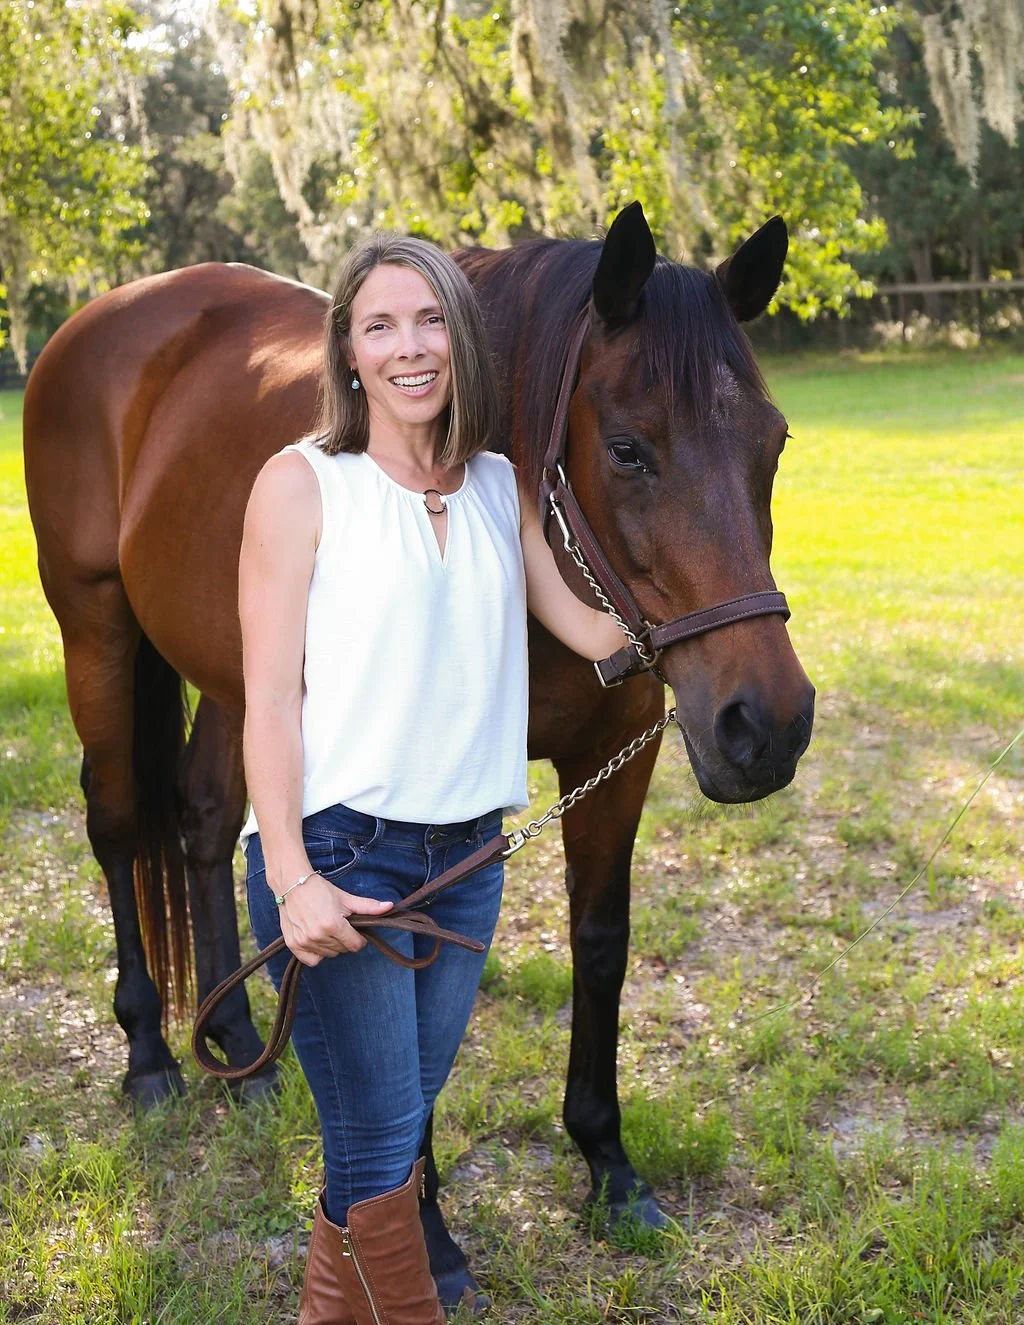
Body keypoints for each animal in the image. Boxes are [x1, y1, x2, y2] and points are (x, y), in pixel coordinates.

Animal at [22, 201, 814, 1306]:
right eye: (627, 448)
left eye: (772, 443)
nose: (767, 725)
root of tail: (102, 321)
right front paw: (429, 1235)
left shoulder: (613, 758)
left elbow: (599, 944)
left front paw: (609, 1168)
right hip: (94, 624)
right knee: (120, 819)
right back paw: (149, 1056)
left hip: (238, 674)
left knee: (207, 817)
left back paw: (241, 1047)